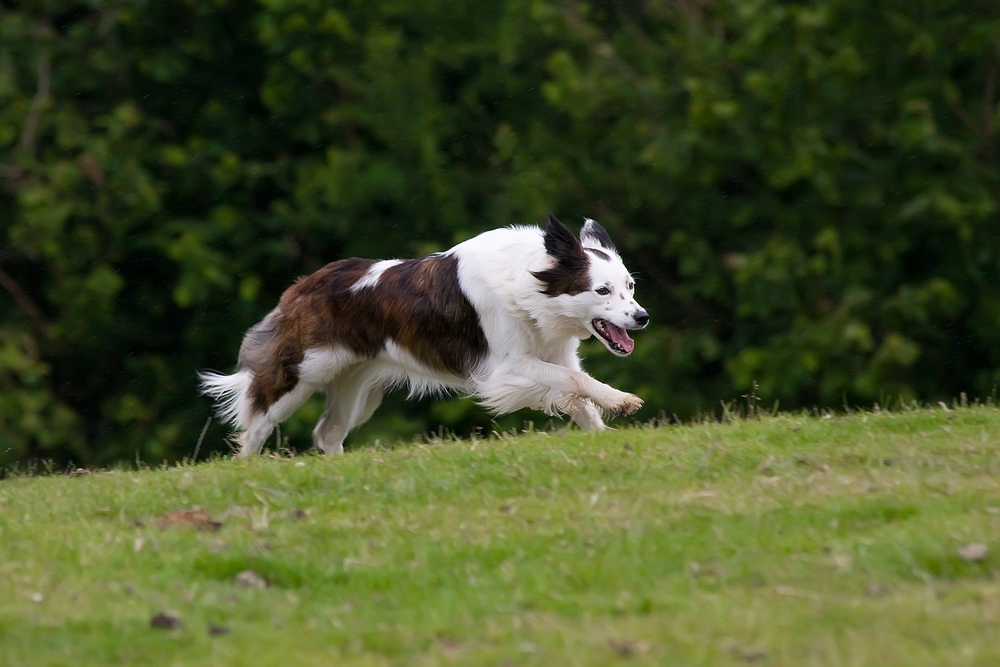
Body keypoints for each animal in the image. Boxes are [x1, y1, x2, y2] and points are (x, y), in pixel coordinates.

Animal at [203, 217, 648, 456]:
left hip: (355, 385)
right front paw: (623, 402)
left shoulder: (555, 353)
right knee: (256, 425)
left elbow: (580, 393)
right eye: (602, 291)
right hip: (301, 374)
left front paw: (603, 434)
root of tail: (301, 286)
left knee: (327, 431)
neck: (530, 285)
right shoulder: (506, 368)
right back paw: (246, 466)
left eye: (630, 286)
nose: (642, 318)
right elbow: (574, 381)